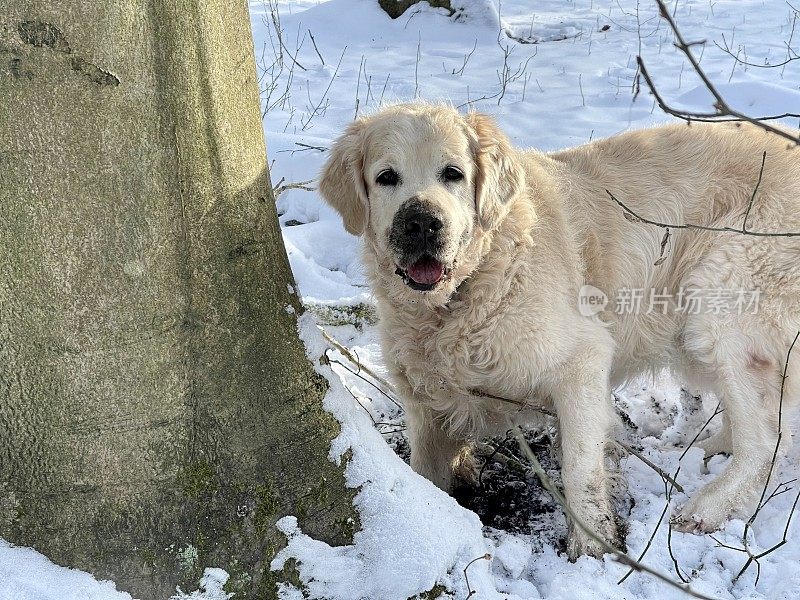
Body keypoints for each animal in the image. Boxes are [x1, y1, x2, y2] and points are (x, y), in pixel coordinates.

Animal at [318, 103, 800, 556]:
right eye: (386, 177)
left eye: (452, 173)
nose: (421, 222)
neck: (463, 296)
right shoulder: (426, 405)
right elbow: (424, 475)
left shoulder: (582, 361)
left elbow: (579, 468)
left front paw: (590, 545)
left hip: (720, 306)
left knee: (766, 442)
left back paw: (705, 507)